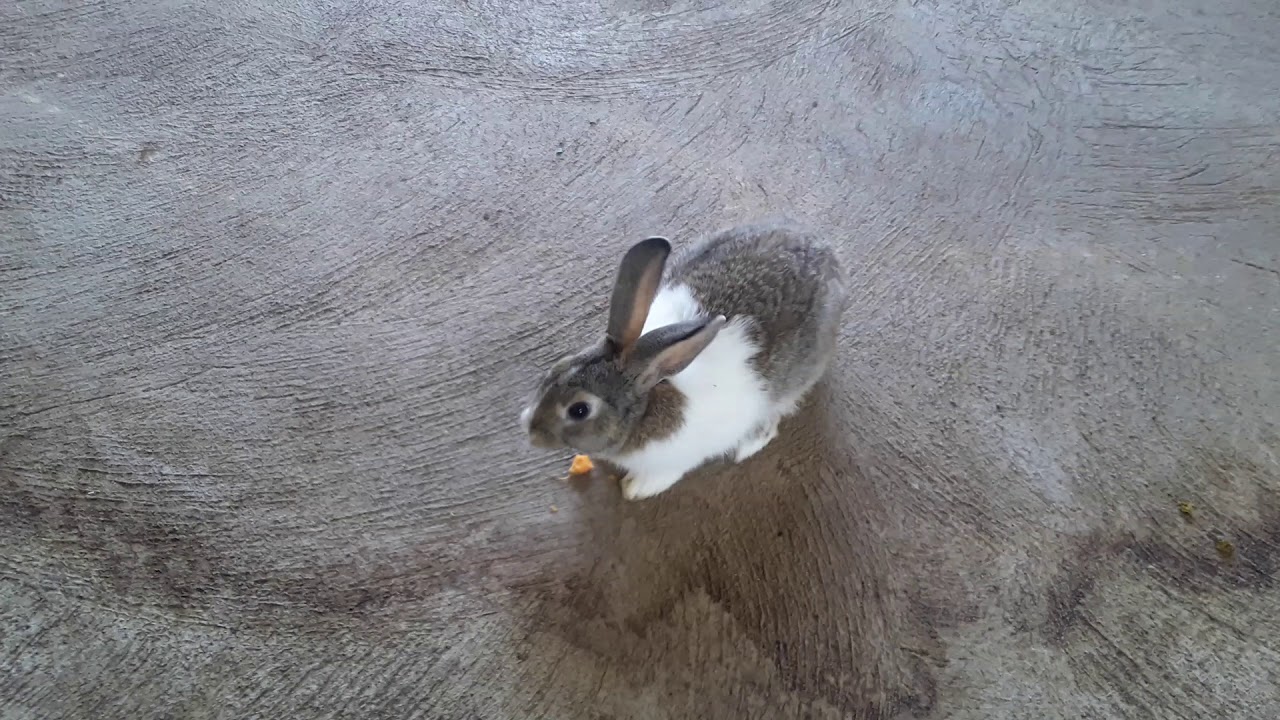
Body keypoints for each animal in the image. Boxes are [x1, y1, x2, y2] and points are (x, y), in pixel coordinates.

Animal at [519, 221, 849, 500]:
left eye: (579, 410)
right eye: (555, 370)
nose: (531, 433)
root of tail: (826, 254)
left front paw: (635, 489)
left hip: (790, 382)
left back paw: (748, 444)